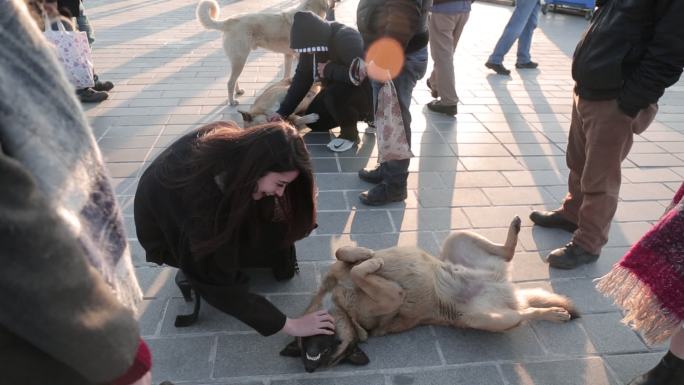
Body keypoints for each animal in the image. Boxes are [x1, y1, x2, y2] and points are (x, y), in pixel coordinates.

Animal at [282, 214, 576, 370]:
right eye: (323, 356)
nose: (310, 367)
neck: (339, 305)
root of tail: (502, 286)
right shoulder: (392, 295)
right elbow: (358, 273)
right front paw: (370, 264)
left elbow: (344, 254)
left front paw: (364, 254)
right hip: (488, 319)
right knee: (526, 313)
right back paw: (554, 313)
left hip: (457, 238)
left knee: (506, 252)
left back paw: (514, 231)